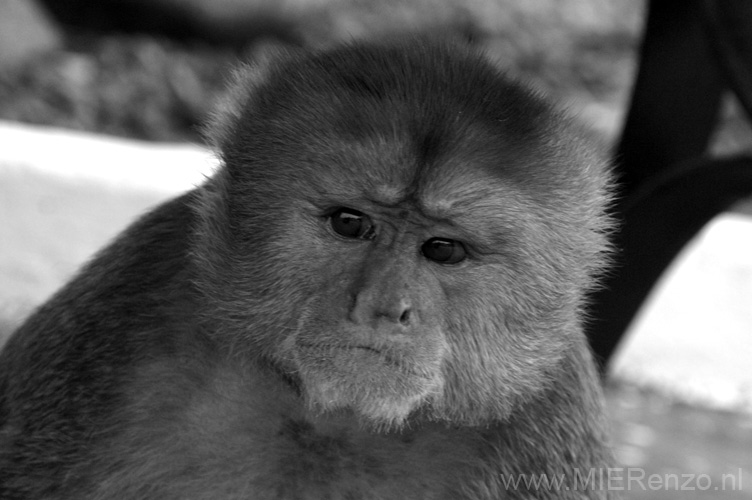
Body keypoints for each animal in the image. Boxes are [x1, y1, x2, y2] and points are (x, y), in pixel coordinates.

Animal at [0, 37, 616, 498]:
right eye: (349, 223)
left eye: (443, 250)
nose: (382, 307)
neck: (331, 420)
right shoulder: (130, 301)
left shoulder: (550, 413)